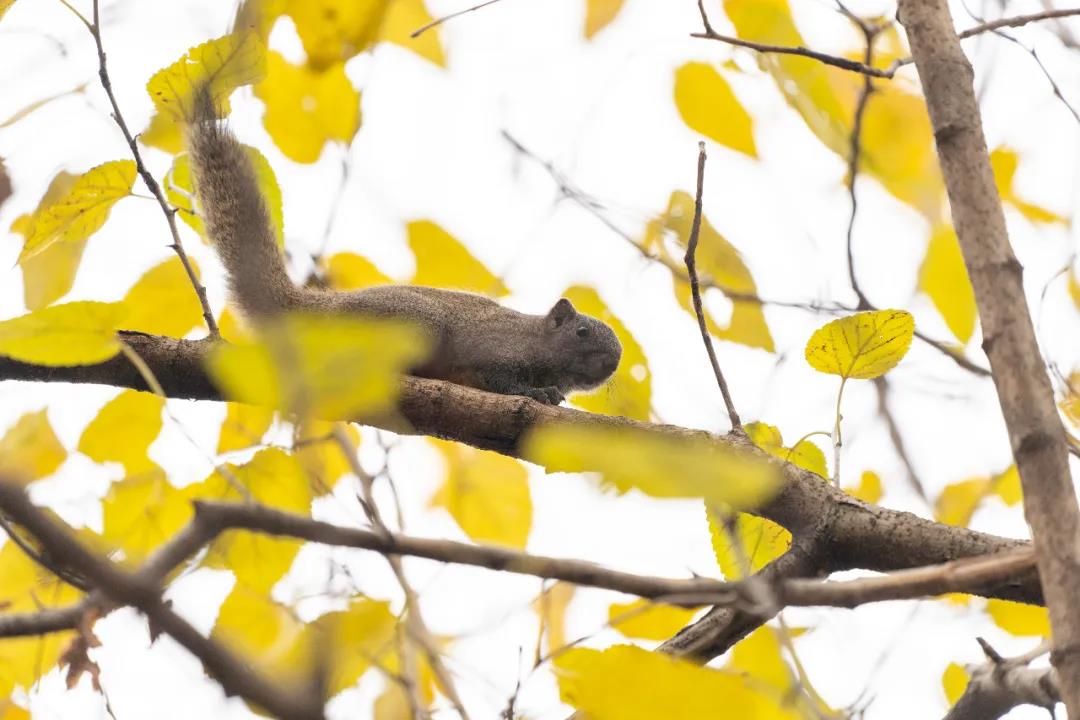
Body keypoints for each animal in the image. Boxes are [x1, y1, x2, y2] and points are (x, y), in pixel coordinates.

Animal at [185, 94, 622, 405]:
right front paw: (536, 393)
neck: (534, 339)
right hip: (412, 324)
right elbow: (500, 380)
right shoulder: (492, 349)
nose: (614, 361)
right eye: (582, 331)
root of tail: (323, 308)